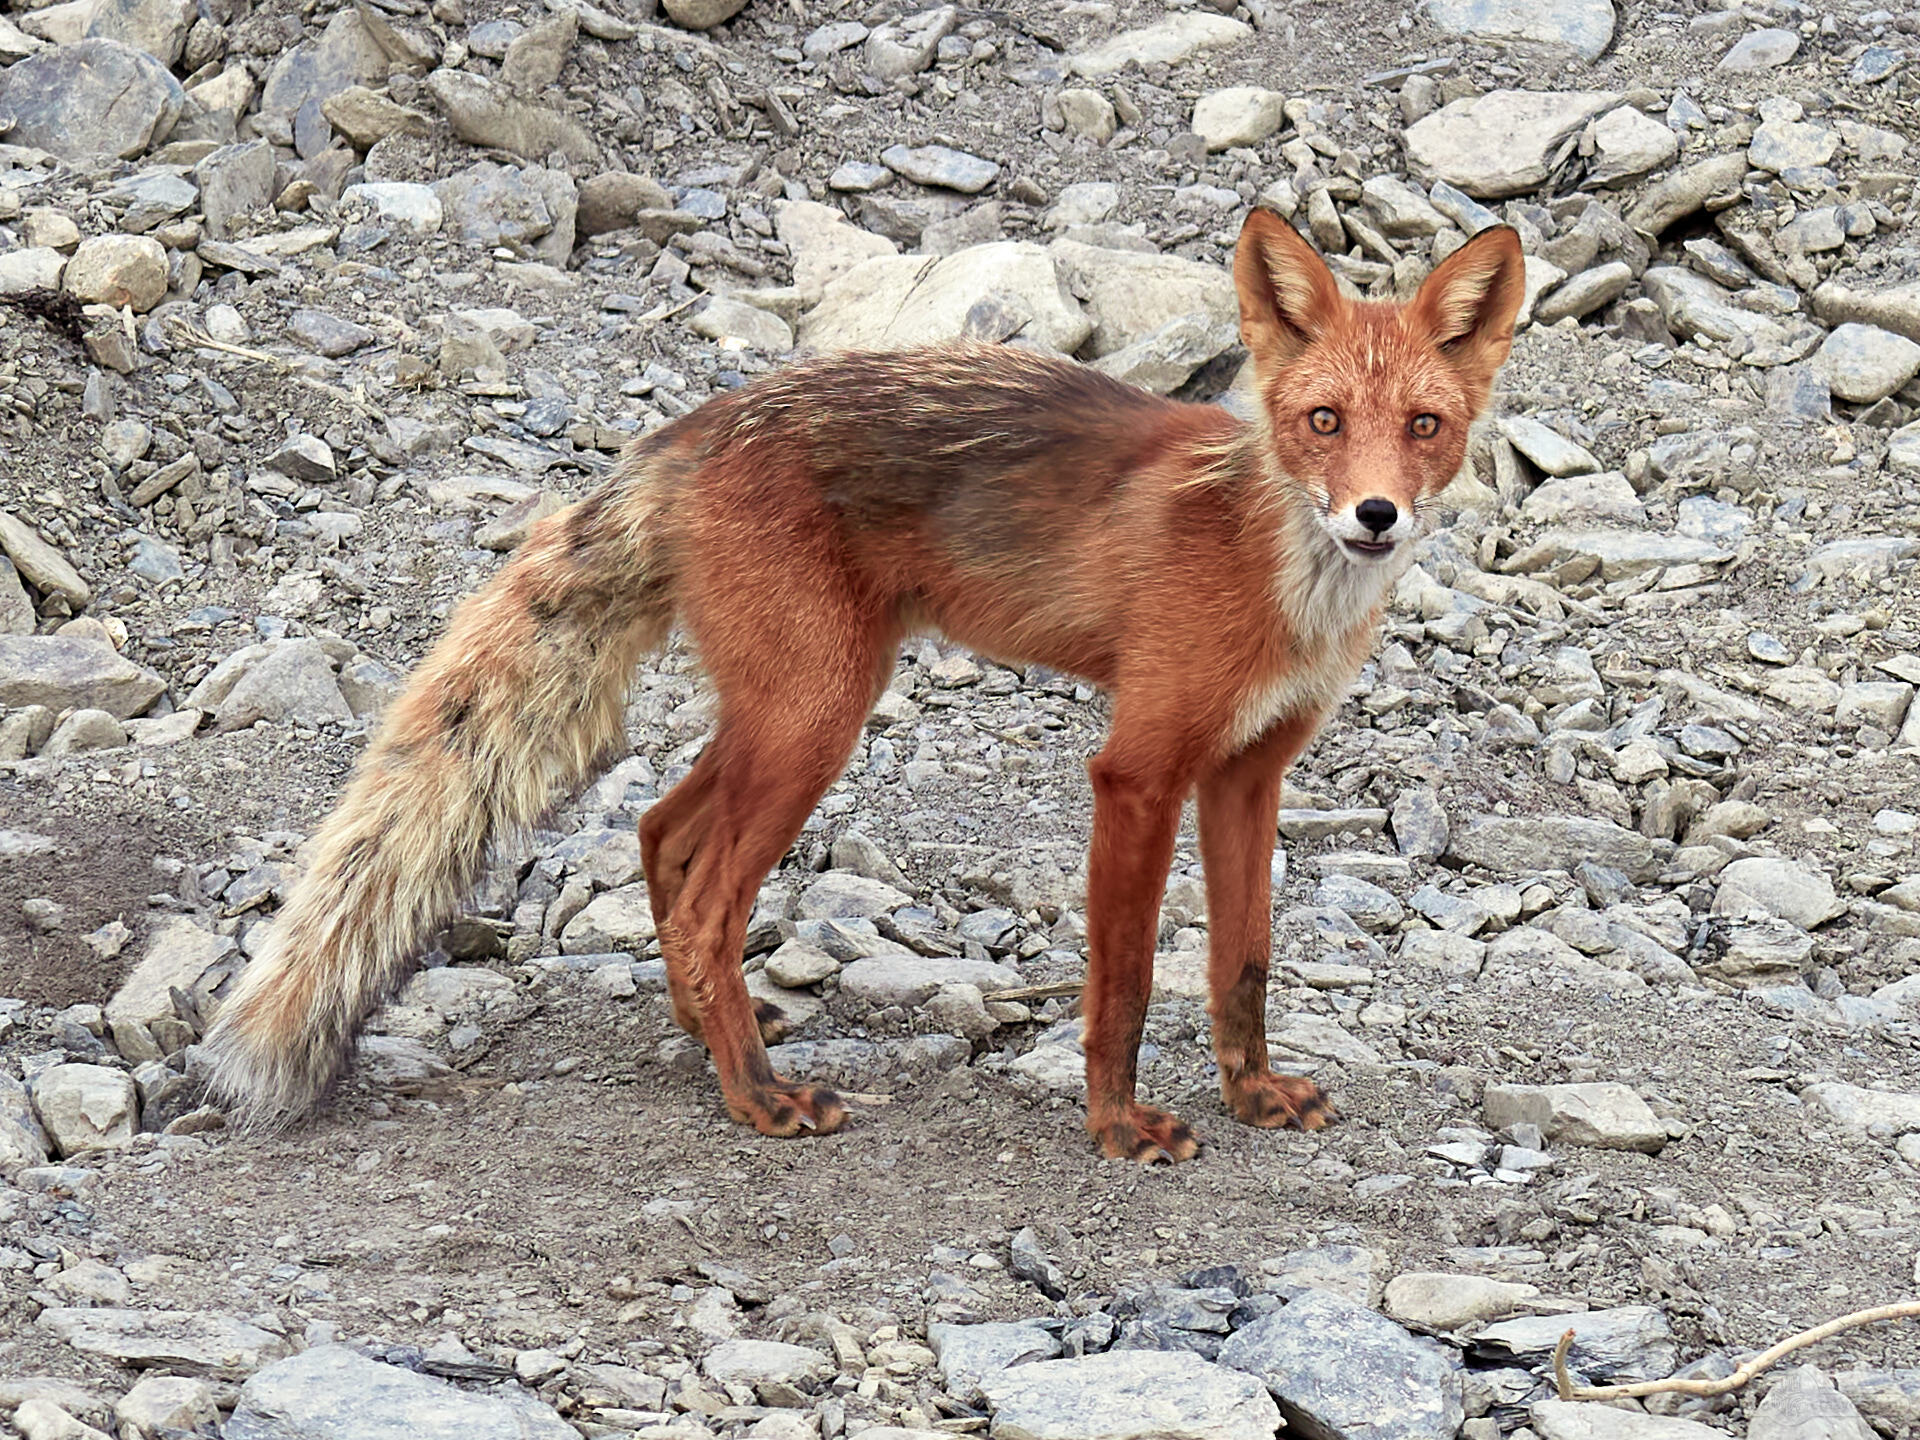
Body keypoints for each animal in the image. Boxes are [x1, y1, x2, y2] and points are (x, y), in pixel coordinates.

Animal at [202, 211, 1520, 1159]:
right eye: (1322, 421)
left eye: (1424, 426)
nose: (1374, 516)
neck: (1276, 578)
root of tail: (686, 433)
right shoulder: (1139, 769)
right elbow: (1129, 982)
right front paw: (1117, 1128)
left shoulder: (1249, 773)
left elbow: (1243, 964)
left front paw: (1252, 1094)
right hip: (819, 717)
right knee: (701, 897)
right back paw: (756, 1097)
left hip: (789, 710)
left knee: (660, 831)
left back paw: (710, 1030)